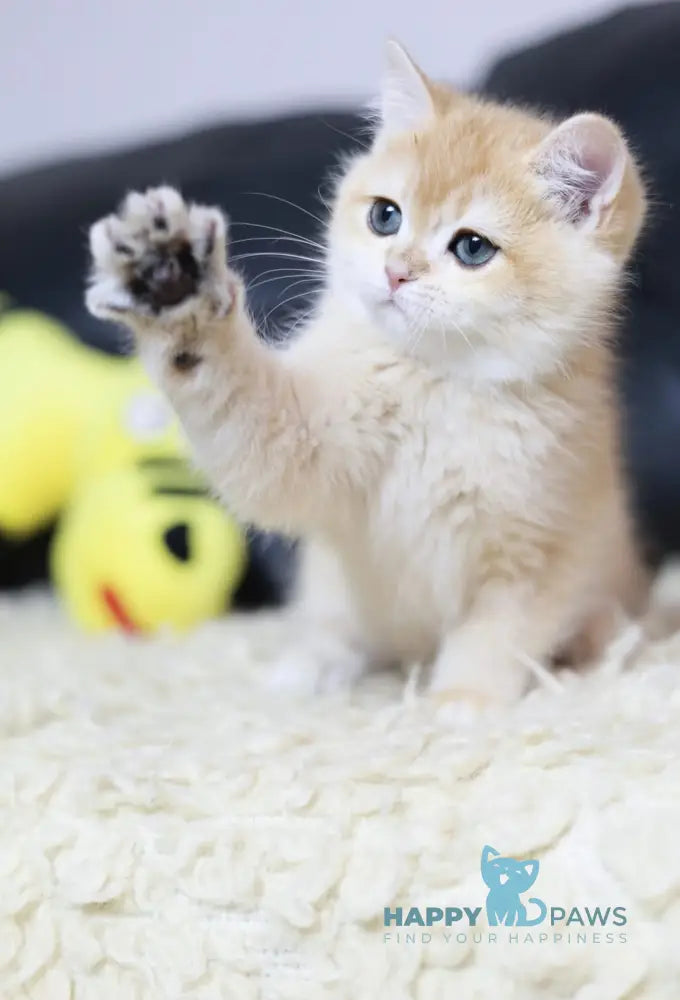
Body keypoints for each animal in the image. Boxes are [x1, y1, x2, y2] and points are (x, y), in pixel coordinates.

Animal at [85, 45, 648, 704]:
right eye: (385, 216)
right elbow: (238, 410)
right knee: (343, 631)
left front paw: (461, 702)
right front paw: (176, 290)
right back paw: (310, 668)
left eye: (473, 248)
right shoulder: (302, 442)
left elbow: (497, 636)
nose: (396, 272)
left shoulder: (541, 554)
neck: (437, 382)